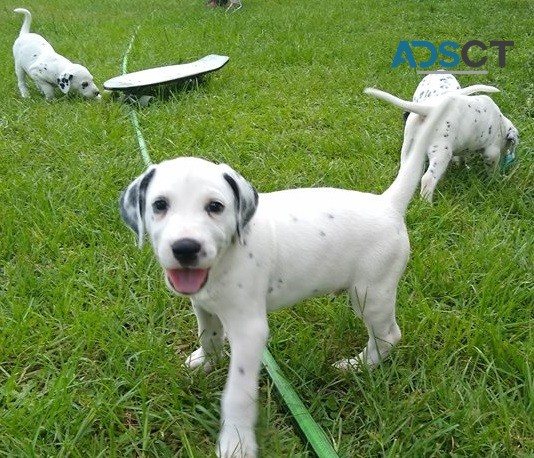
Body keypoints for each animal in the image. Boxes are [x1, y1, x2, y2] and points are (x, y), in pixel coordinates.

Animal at [119, 95, 454, 456]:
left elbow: (237, 393)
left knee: (389, 335)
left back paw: (358, 366)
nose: (185, 248)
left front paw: (236, 442)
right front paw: (204, 362)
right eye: (159, 205)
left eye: (215, 207)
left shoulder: (249, 331)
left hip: (371, 293)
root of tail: (387, 205)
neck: (225, 258)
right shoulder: (204, 306)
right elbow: (208, 336)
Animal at [366, 87, 520, 201]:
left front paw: (463, 166)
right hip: (441, 152)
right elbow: (492, 169)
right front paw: (496, 180)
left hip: (409, 147)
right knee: (428, 178)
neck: (500, 122)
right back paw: (426, 204)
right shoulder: (491, 152)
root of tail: (429, 110)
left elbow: (461, 157)